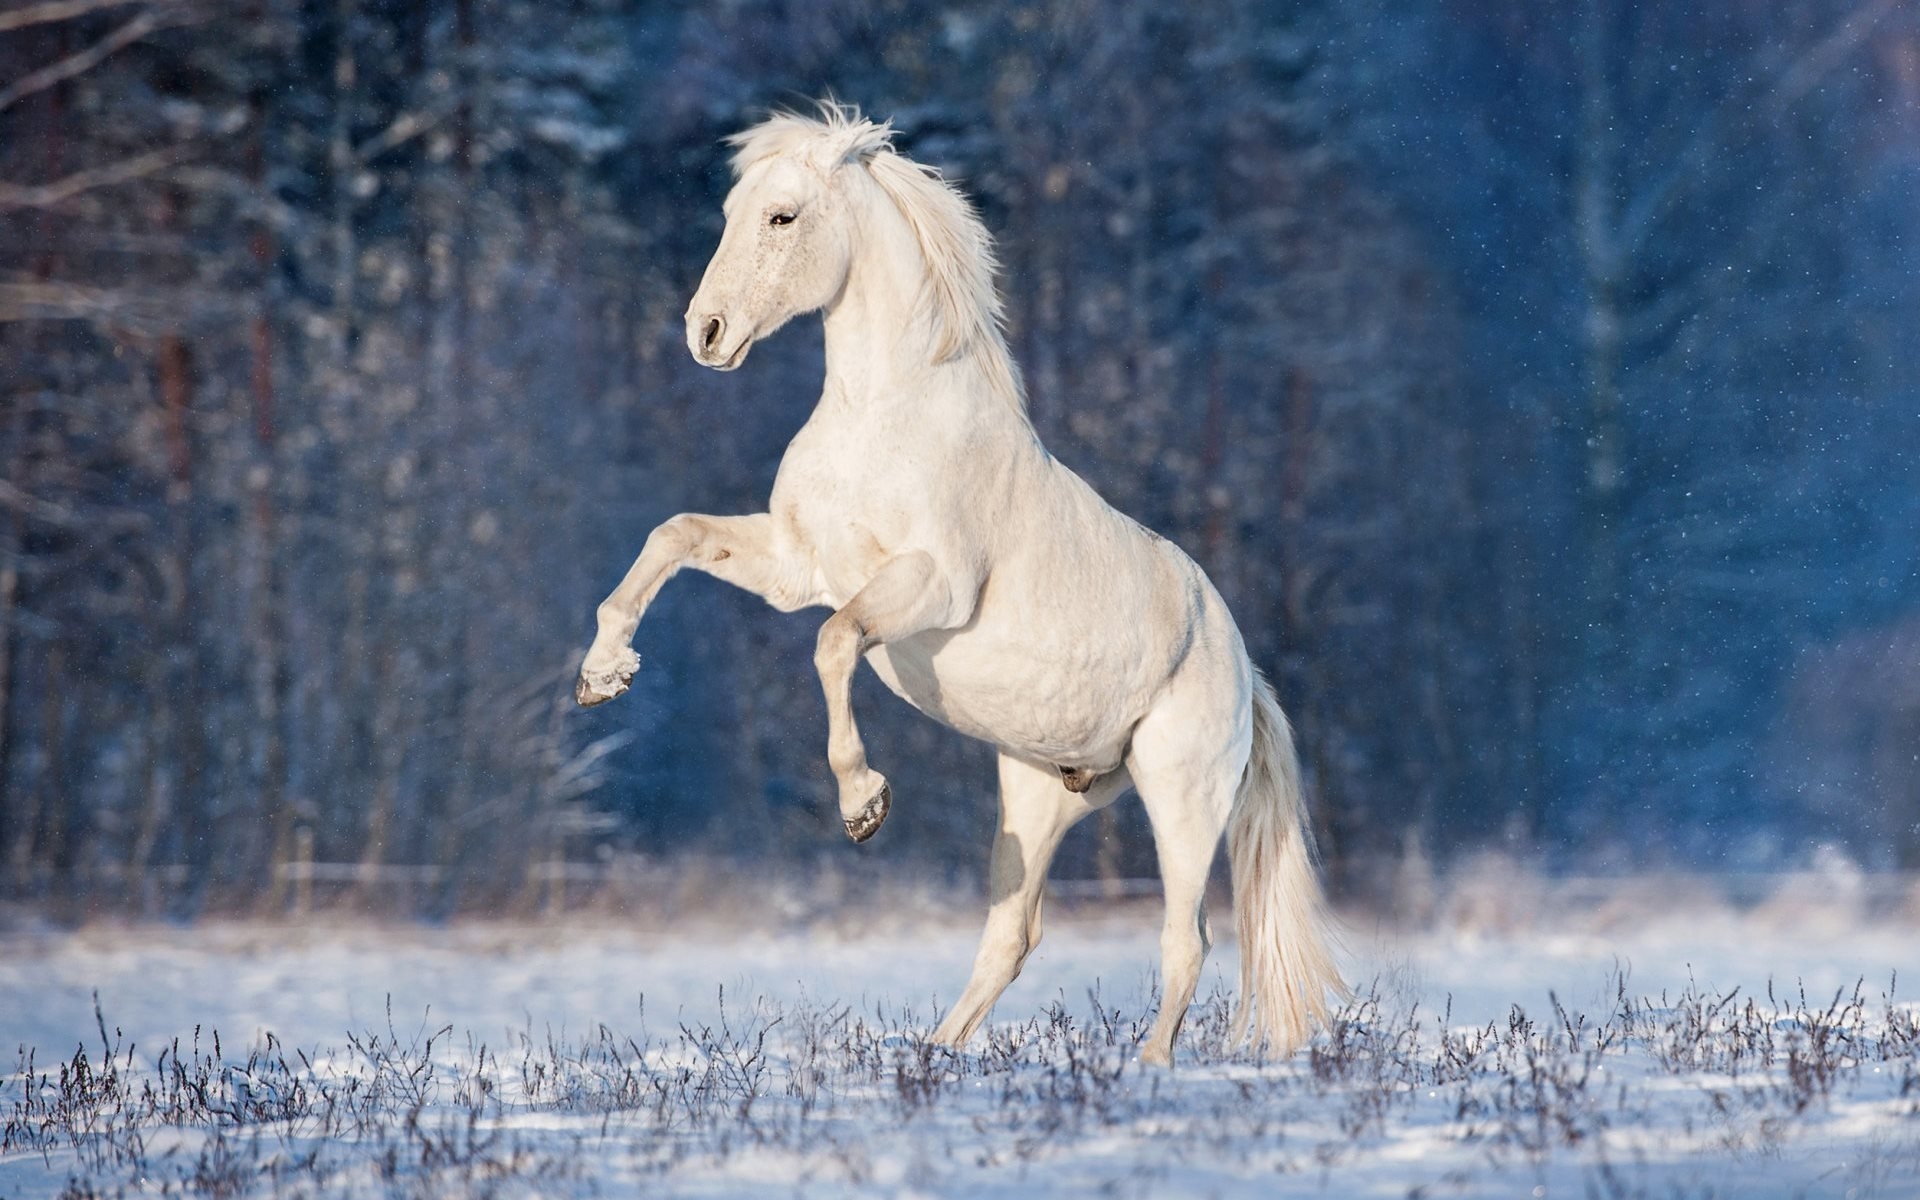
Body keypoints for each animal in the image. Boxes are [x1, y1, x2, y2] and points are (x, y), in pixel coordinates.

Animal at [576, 100, 1344, 1059]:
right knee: (1011, 938)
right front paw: (602, 675)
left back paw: (1146, 1067)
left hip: (1182, 797)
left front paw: (864, 804)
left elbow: (833, 641)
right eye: (731, 211)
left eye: (782, 217)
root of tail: (1247, 676)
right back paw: (935, 1057)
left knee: (1186, 941)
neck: (885, 419)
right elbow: (675, 536)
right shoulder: (796, 564)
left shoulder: (930, 588)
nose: (706, 334)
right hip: (1038, 799)